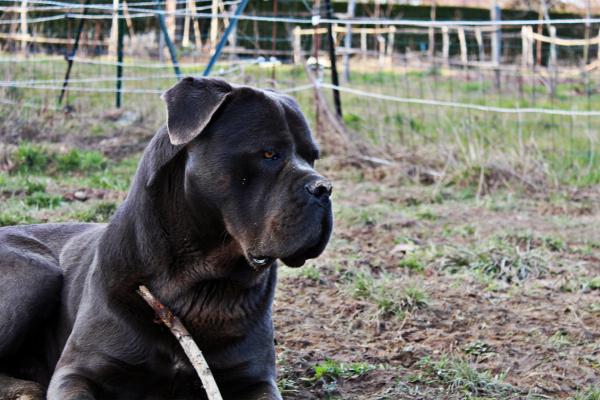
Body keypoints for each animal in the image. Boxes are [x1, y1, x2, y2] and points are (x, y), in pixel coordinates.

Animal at [0, 76, 332, 398]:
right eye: (269, 153)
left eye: (312, 157)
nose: (324, 188)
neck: (197, 281)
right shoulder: (78, 371)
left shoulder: (255, 379)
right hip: (36, 272)